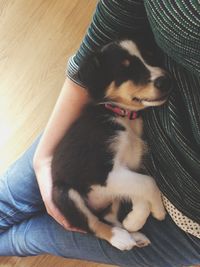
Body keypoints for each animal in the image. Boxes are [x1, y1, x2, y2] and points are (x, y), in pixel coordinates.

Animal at [51, 39, 170, 251]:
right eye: (126, 70)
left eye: (149, 57)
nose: (165, 81)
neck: (122, 115)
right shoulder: (102, 172)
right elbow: (148, 182)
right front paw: (158, 210)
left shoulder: (128, 167)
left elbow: (139, 188)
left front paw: (135, 220)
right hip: (64, 194)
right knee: (93, 224)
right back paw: (120, 238)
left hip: (108, 200)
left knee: (109, 217)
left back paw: (134, 234)